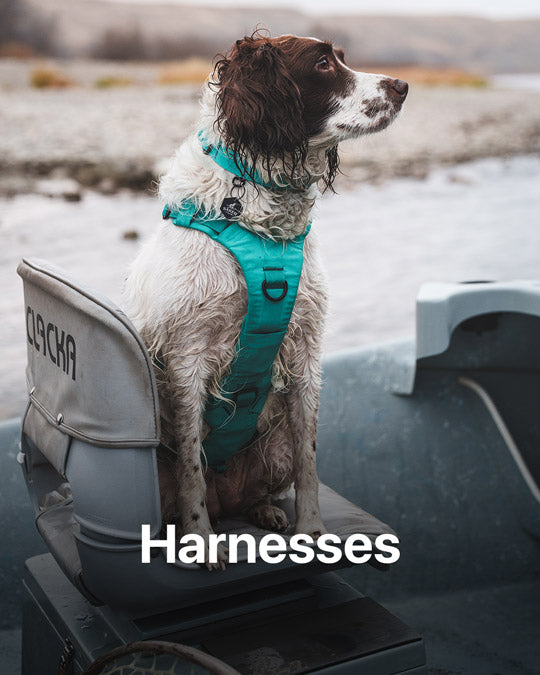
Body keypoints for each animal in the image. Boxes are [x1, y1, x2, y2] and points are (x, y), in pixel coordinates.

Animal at [124, 33, 408, 572]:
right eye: (323, 63)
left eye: (340, 57)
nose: (402, 85)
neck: (255, 219)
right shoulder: (188, 358)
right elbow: (192, 465)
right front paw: (201, 541)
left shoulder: (305, 349)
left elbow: (309, 457)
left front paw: (312, 531)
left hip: (271, 453)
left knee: (259, 491)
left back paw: (266, 512)